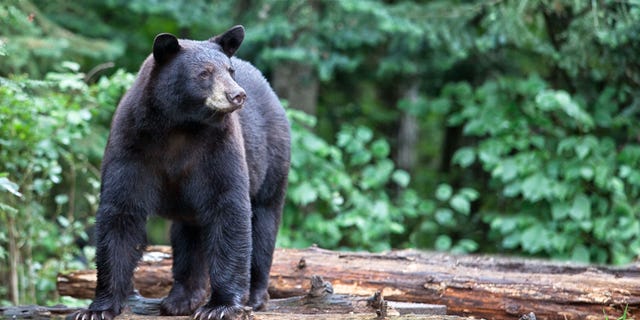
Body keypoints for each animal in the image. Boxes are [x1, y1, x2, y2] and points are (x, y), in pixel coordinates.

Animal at [72, 25, 290, 320]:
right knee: (189, 236)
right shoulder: (131, 144)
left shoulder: (219, 147)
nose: (237, 95)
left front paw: (220, 306)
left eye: (229, 70)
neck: (180, 125)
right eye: (205, 73)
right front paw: (98, 308)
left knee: (264, 222)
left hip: (272, 159)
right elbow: (120, 211)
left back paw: (255, 296)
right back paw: (182, 298)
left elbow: (228, 207)